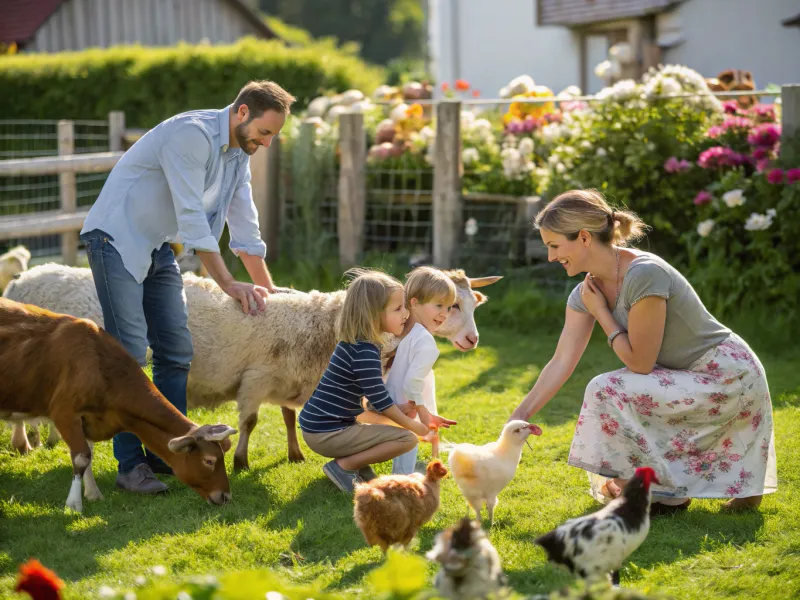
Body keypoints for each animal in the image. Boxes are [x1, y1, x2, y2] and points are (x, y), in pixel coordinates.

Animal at [0, 298, 238, 512]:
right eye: (209, 461)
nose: (225, 496)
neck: (100, 366)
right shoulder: (64, 413)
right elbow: (81, 457)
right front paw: (74, 504)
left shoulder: (90, 419)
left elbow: (89, 454)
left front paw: (93, 492)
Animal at [1, 262, 500, 468]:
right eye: (450, 306)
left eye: (469, 303)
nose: (474, 340)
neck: (323, 325)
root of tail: (26, 278)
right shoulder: (256, 378)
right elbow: (251, 421)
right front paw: (240, 460)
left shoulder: (289, 380)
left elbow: (289, 417)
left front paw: (295, 454)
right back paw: (25, 443)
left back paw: (43, 439)